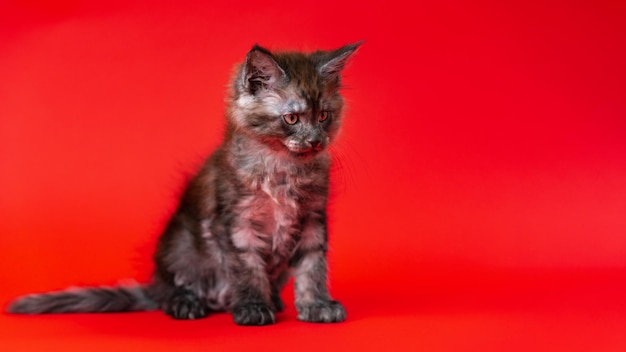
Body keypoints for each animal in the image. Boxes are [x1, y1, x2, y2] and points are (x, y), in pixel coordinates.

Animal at [8, 42, 360, 326]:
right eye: (291, 119)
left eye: (324, 116)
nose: (316, 141)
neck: (284, 168)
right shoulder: (235, 223)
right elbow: (247, 269)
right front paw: (253, 308)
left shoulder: (312, 219)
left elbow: (312, 267)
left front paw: (317, 305)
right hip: (179, 246)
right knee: (172, 291)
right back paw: (187, 303)